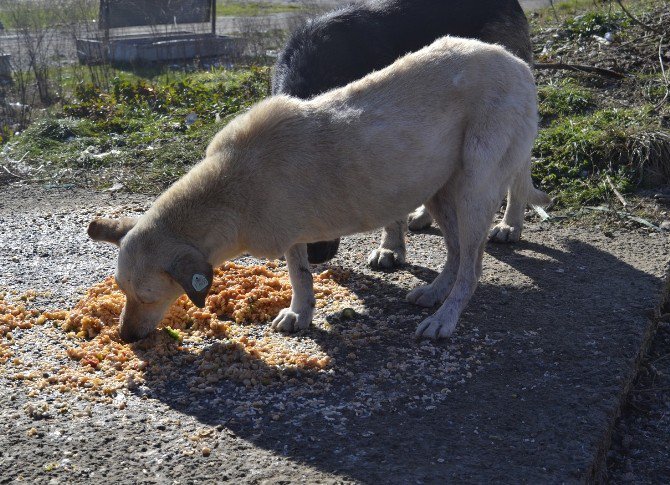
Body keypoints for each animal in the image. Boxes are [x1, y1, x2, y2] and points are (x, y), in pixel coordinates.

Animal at [89, 36, 548, 340]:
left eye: (148, 296)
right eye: (122, 292)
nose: (124, 337)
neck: (231, 188)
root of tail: (517, 63)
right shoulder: (292, 236)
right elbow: (300, 276)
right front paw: (300, 314)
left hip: (473, 188)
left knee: (472, 267)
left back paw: (446, 316)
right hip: (438, 190)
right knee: (455, 255)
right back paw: (435, 292)